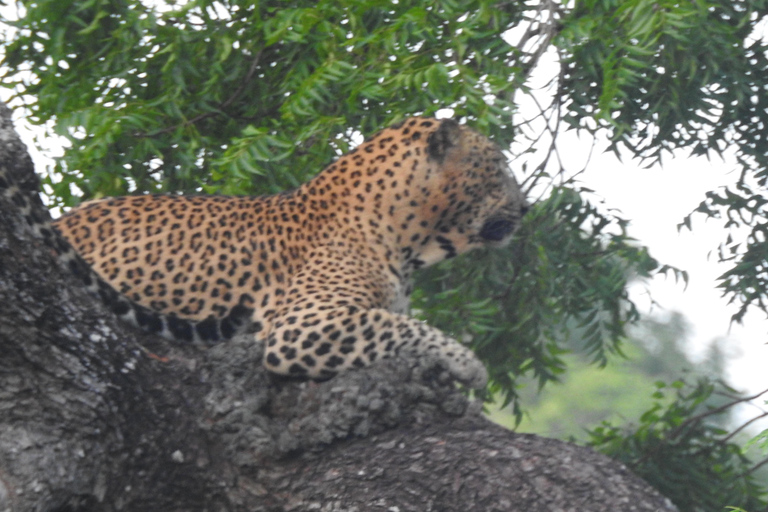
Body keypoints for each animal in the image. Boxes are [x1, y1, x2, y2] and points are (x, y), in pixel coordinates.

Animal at [1, 117, 527, 389]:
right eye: (499, 166)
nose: (526, 207)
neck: (408, 238)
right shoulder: (303, 325)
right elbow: (402, 326)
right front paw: (468, 363)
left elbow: (399, 321)